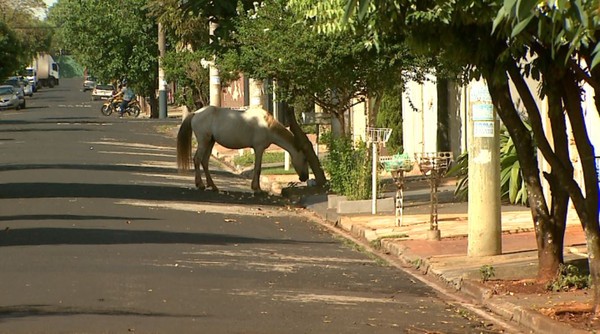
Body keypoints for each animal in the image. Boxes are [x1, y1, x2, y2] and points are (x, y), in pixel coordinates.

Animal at [177, 104, 310, 193]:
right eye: (305, 159)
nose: (305, 177)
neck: (267, 125)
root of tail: (195, 113)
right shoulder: (259, 148)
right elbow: (258, 168)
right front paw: (257, 189)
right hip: (204, 142)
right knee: (197, 159)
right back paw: (200, 185)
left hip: (210, 142)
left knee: (204, 161)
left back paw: (213, 186)